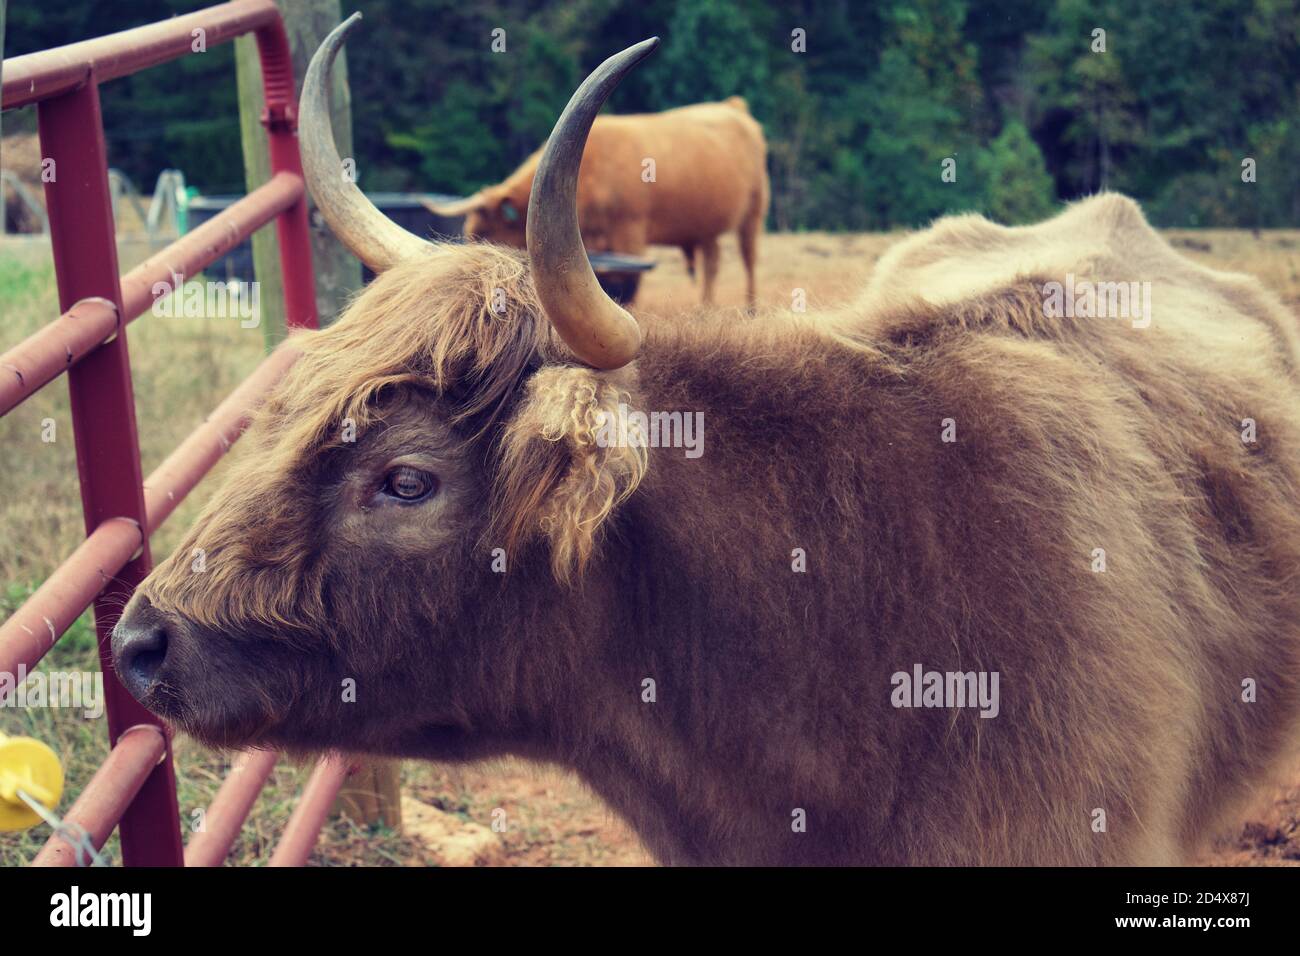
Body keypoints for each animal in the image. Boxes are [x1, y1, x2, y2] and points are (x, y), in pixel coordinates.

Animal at [431, 96, 764, 306]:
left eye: (486, 234)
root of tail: (732, 106)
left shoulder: (629, 233)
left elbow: (627, 288)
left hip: (755, 209)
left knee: (748, 260)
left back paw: (749, 308)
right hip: (708, 227)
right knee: (713, 263)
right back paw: (705, 309)